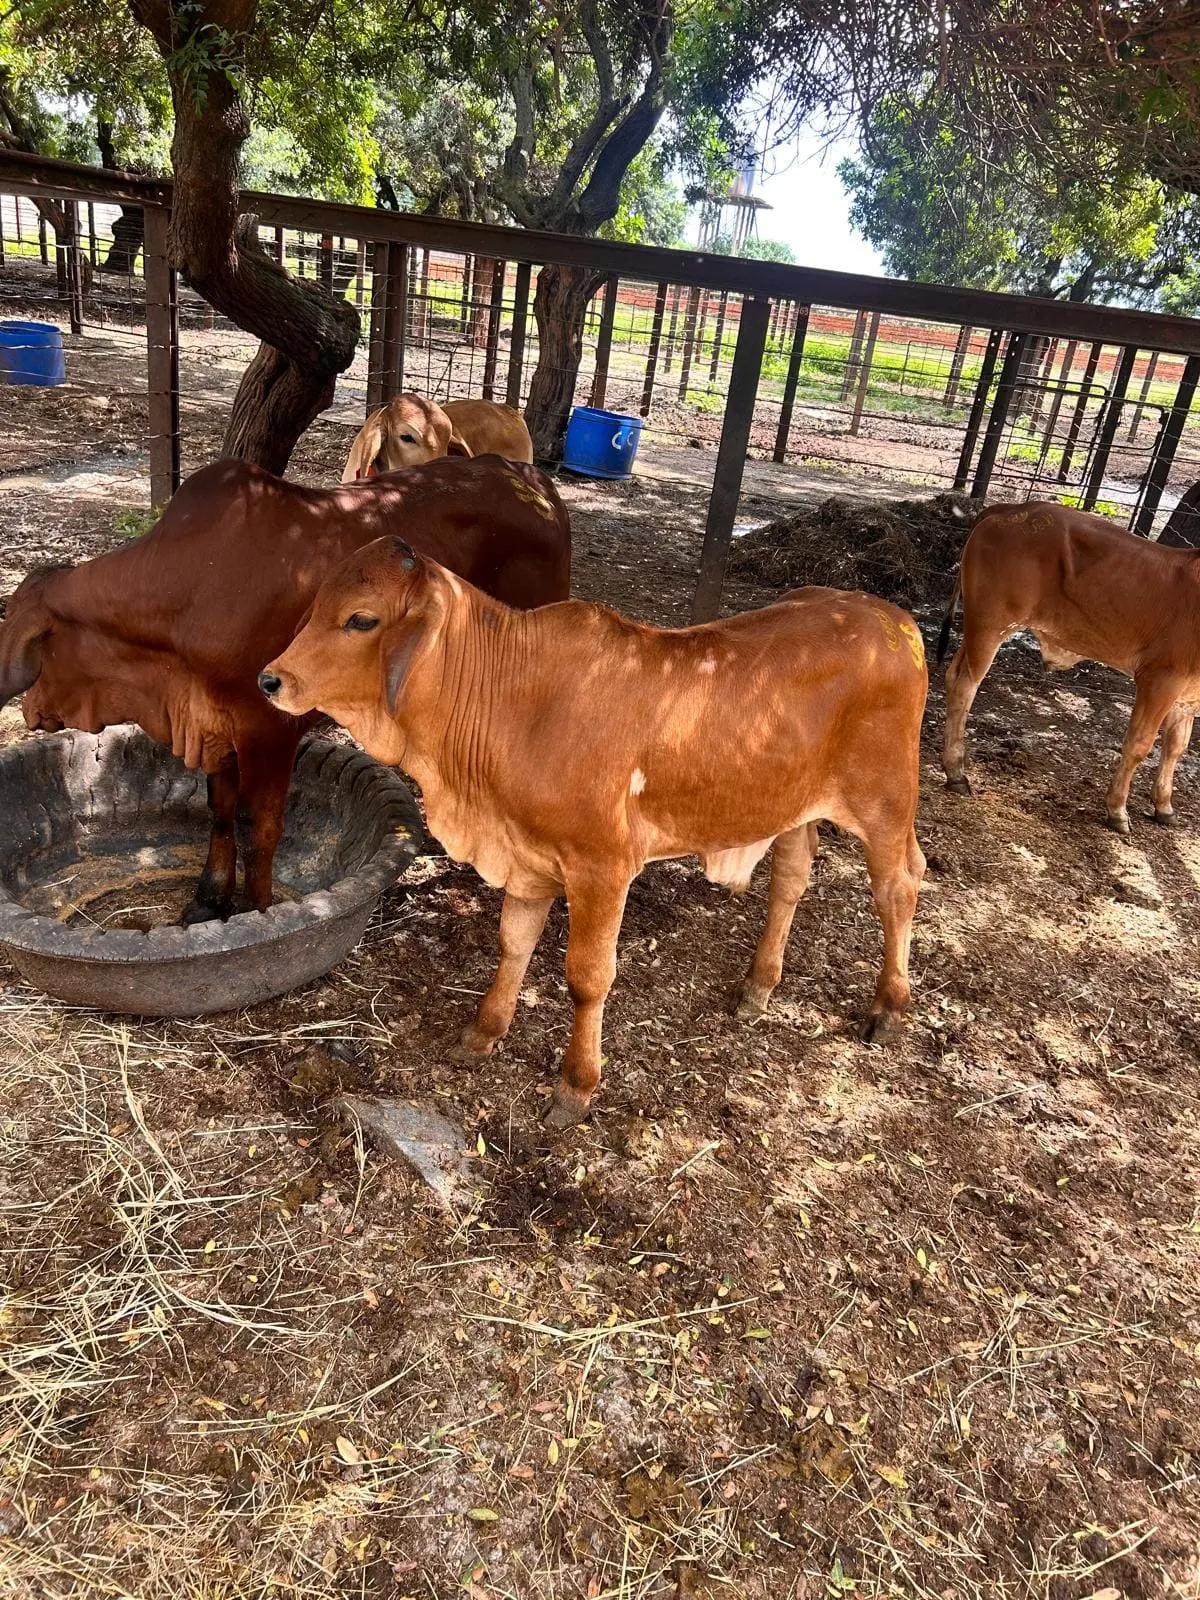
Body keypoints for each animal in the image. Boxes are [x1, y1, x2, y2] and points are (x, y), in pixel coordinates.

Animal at [0, 456, 570, 925]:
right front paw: (207, 901)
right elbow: (221, 813)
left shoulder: (267, 727)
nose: (28, 710)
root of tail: (532, 480)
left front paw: (258, 912)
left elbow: (260, 826)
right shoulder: (217, 727)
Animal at [259, 539, 928, 1130]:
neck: (513, 701)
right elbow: (514, 944)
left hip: (885, 802)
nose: (270, 680)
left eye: (361, 619)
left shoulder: (601, 868)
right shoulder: (527, 856)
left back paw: (890, 1007)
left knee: (899, 886)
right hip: (792, 806)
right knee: (792, 878)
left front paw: (575, 1086)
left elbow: (587, 977)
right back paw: (758, 987)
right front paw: (484, 1033)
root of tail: (894, 618)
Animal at [938, 499, 1200, 834]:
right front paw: (1117, 810)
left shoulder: (1188, 694)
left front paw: (1164, 806)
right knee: (965, 687)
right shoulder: (1160, 677)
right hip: (990, 625)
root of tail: (1010, 508)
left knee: (952, 675)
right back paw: (956, 771)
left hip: (977, 629)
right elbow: (1139, 744)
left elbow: (1176, 747)